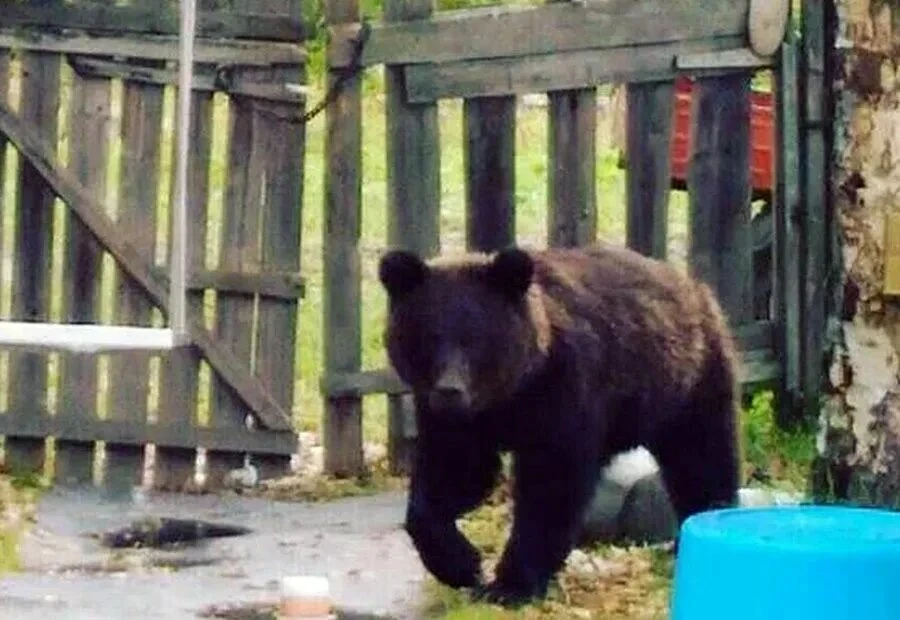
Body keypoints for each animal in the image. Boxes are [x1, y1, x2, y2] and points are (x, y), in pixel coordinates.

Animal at [377, 242, 741, 606]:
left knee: (702, 457)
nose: (450, 390)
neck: (510, 395)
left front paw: (508, 585)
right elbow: (452, 474)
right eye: (430, 336)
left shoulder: (563, 389)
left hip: (688, 381)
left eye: (475, 338)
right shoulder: (457, 420)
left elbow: (551, 483)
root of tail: (689, 282)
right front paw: (462, 564)